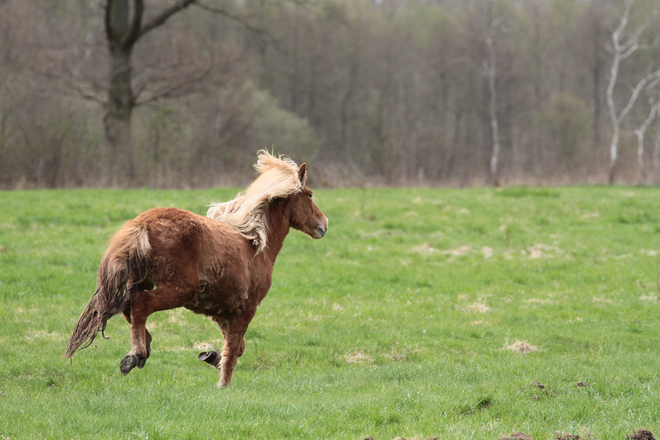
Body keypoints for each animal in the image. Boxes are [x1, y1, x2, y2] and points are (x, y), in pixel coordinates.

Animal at [64, 151, 328, 384]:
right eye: (310, 195)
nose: (323, 224)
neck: (255, 244)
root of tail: (143, 223)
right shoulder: (247, 309)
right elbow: (234, 350)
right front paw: (222, 377)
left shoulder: (222, 312)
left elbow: (237, 347)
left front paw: (211, 356)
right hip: (178, 290)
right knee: (140, 305)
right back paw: (135, 355)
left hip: (142, 282)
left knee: (128, 307)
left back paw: (143, 349)